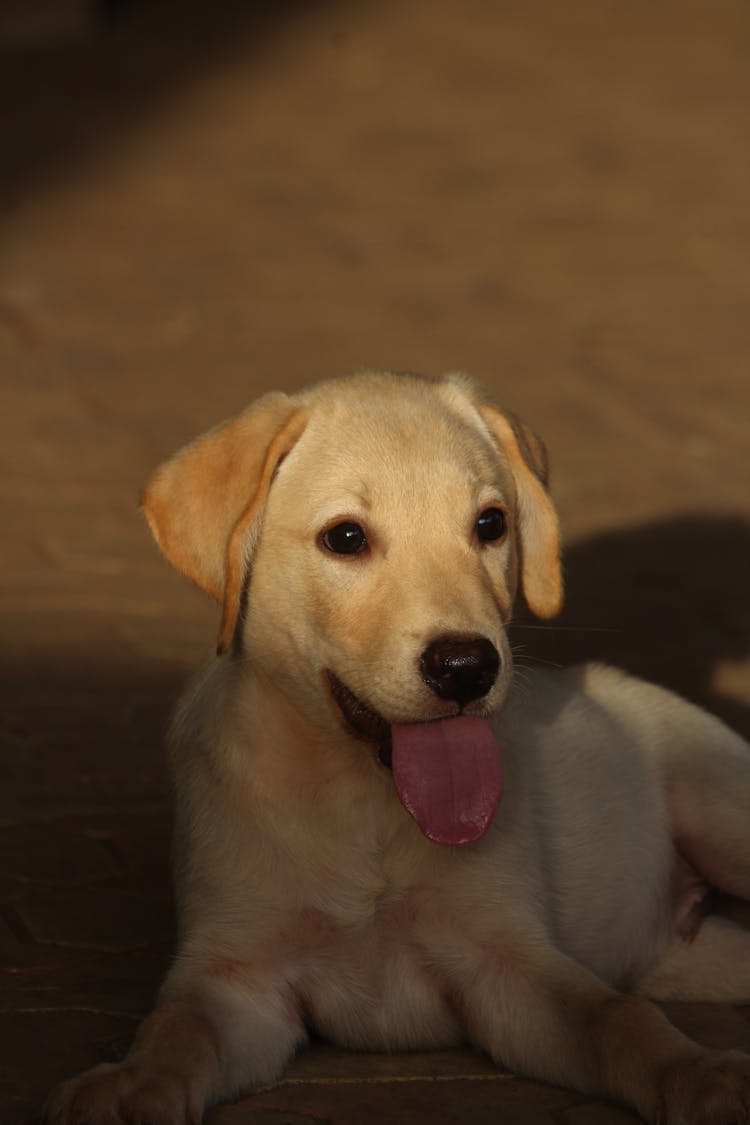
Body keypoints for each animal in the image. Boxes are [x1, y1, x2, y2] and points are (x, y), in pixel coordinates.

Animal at [46, 373, 750, 1120]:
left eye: (490, 524)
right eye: (346, 537)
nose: (467, 667)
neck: (366, 805)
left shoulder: (512, 966)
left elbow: (621, 1018)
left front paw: (703, 1074)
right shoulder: (238, 980)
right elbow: (178, 1027)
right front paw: (130, 1083)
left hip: (721, 815)